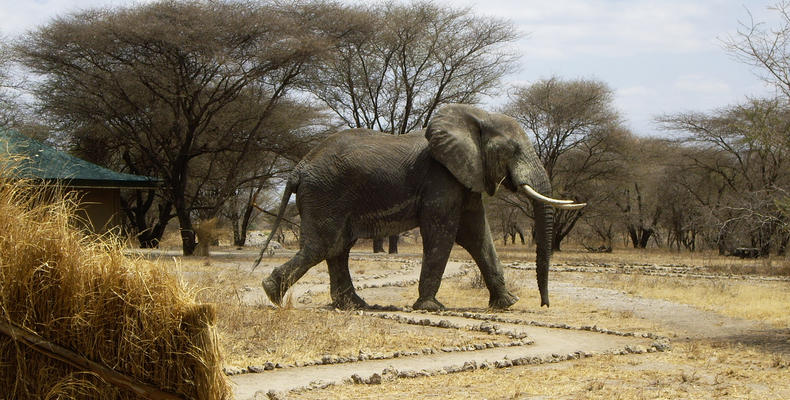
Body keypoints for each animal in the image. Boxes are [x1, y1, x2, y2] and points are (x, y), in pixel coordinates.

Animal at [254, 103, 588, 310]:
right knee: (323, 246)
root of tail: (298, 169)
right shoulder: (441, 178)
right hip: (325, 193)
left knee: (337, 248)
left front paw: (508, 304)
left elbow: (478, 235)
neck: (476, 116)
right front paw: (431, 307)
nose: (544, 304)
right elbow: (443, 232)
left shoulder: (465, 176)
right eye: (512, 150)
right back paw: (272, 294)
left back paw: (353, 305)